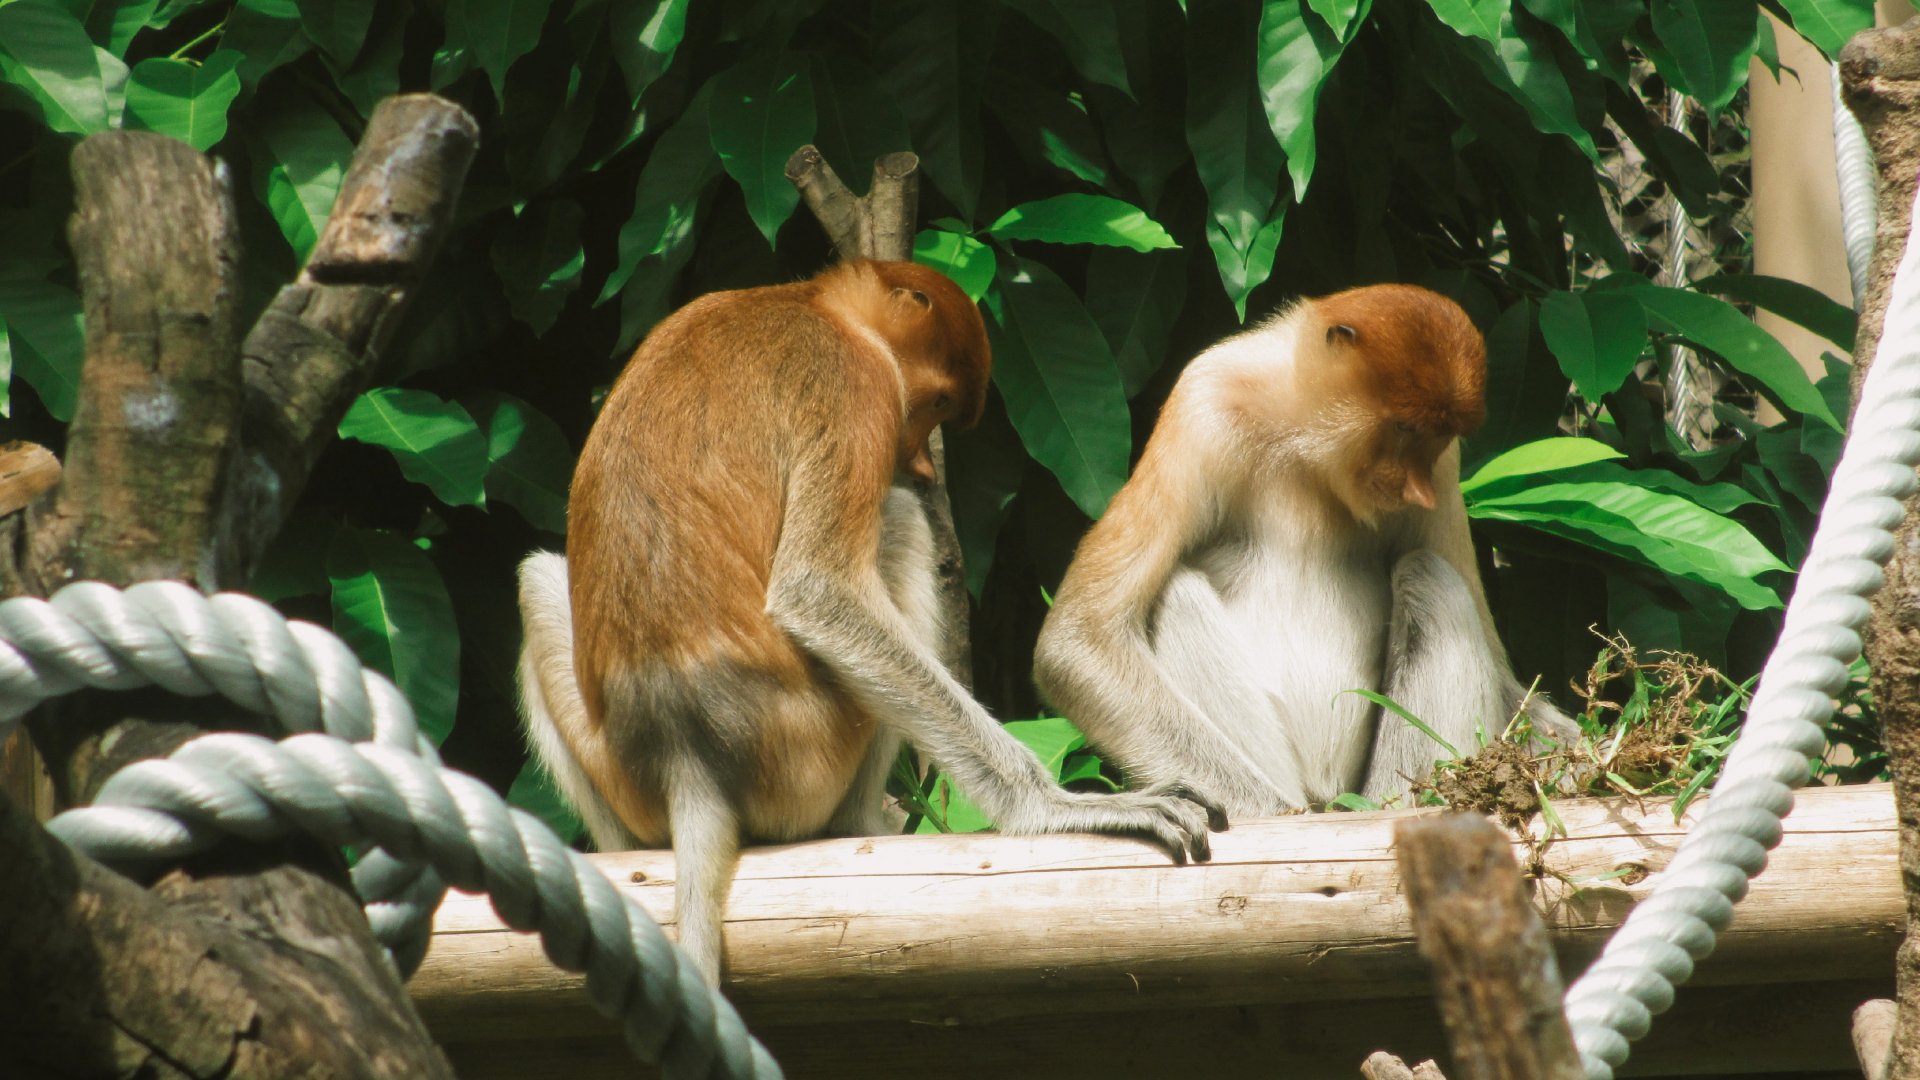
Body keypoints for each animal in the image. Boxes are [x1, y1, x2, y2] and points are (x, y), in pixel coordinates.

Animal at [517, 260, 1221, 984]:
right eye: (936, 404)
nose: (919, 465)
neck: (816, 303)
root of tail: (687, 757)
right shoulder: (857, 385)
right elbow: (817, 593)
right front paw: (1055, 809)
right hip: (810, 754)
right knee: (903, 526)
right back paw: (863, 820)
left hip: (623, 766)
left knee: (537, 578)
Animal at [1032, 284, 1574, 818]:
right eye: (1403, 427)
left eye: (1439, 437)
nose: (1417, 493)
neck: (1303, 438)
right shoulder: (1201, 405)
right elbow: (1077, 643)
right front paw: (1263, 810)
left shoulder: (1444, 469)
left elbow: (1500, 674)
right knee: (1175, 589)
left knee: (1429, 573)